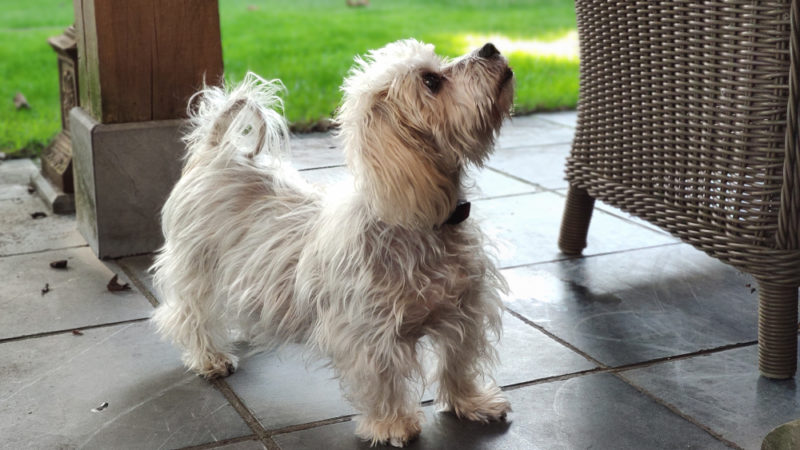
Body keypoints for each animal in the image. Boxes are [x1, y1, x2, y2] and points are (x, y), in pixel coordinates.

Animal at [153, 38, 516, 446]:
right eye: (431, 82)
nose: (490, 47)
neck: (420, 224)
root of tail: (215, 152)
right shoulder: (370, 334)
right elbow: (383, 381)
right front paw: (391, 424)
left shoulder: (465, 312)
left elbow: (459, 363)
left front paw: (471, 403)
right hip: (196, 267)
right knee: (189, 314)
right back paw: (208, 357)